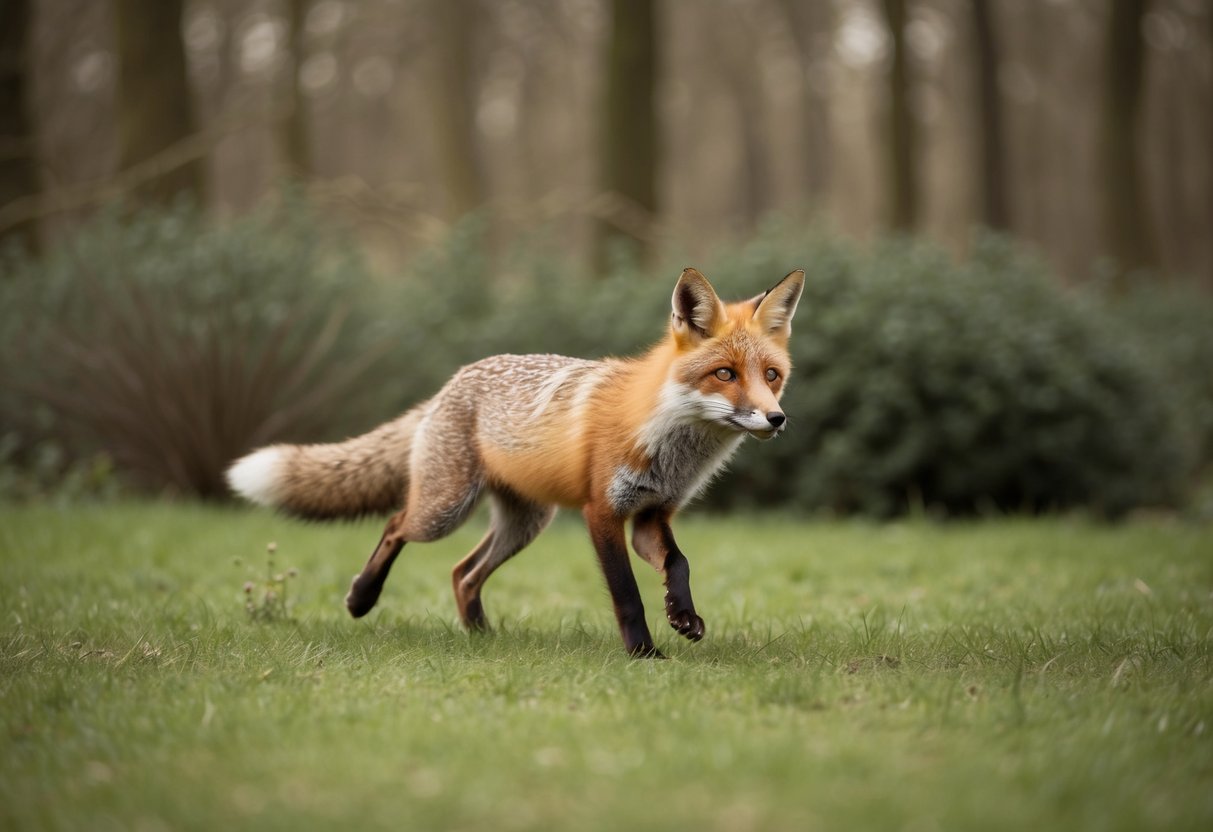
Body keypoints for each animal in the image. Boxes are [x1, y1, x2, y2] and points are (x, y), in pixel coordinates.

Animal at [226, 267, 804, 657]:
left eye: (772, 375)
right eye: (725, 374)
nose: (776, 419)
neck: (668, 441)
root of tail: (451, 383)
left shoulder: (650, 515)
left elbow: (679, 564)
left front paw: (683, 616)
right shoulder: (602, 512)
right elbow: (627, 595)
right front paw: (644, 654)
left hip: (526, 523)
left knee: (463, 573)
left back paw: (483, 638)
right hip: (445, 510)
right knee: (395, 526)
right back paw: (362, 599)